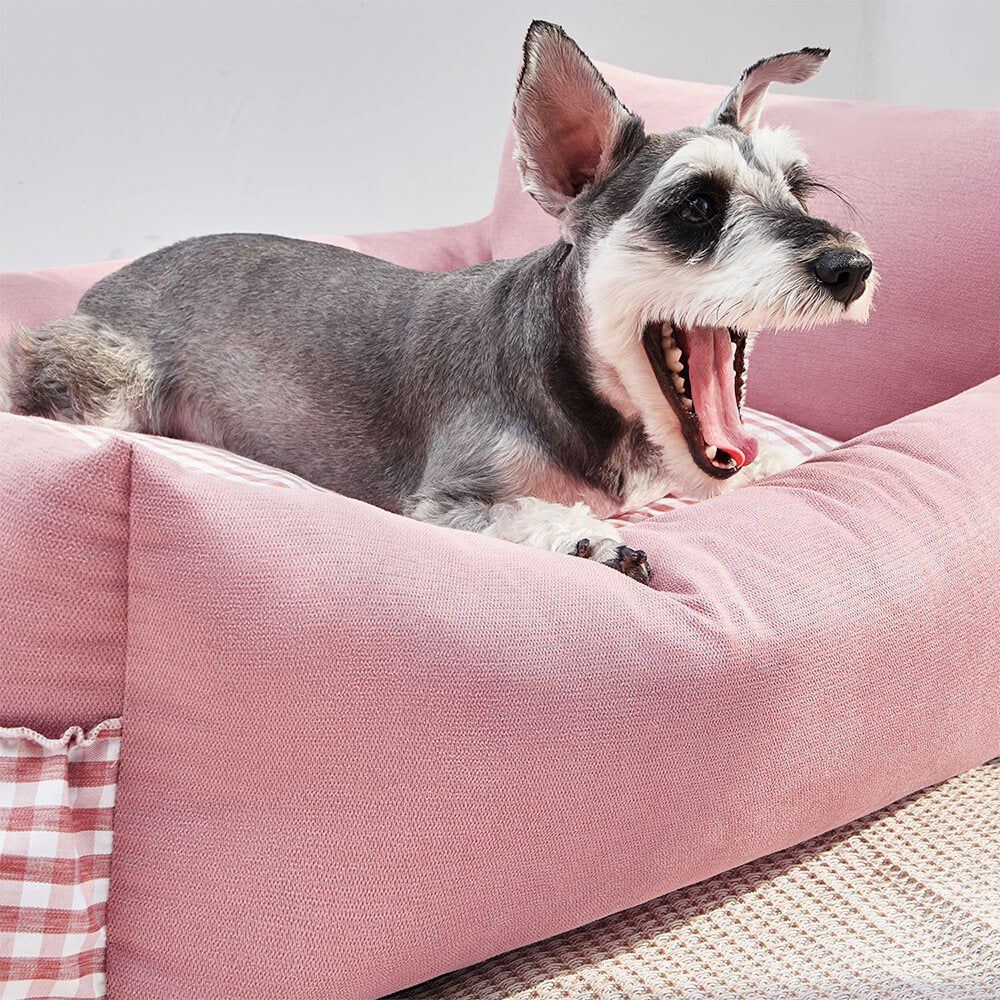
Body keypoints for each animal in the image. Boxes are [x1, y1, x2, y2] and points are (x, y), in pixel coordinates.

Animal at [0, 21, 872, 584]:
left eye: (797, 187)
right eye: (696, 205)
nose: (852, 266)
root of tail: (105, 283)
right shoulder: (449, 499)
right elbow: (533, 516)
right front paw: (590, 544)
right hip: (106, 384)